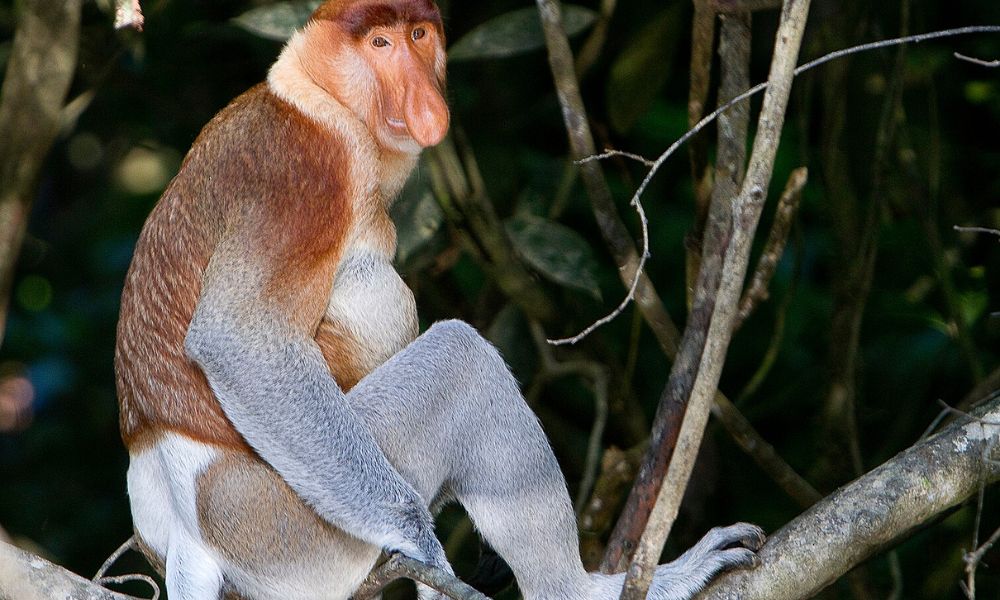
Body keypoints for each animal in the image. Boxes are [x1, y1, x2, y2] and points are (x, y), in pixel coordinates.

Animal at [115, 1, 764, 600]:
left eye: (419, 35)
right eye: (379, 43)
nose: (423, 97)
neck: (319, 98)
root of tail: (185, 535)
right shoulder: (304, 173)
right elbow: (237, 339)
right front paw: (420, 538)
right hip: (285, 524)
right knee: (462, 358)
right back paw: (580, 587)